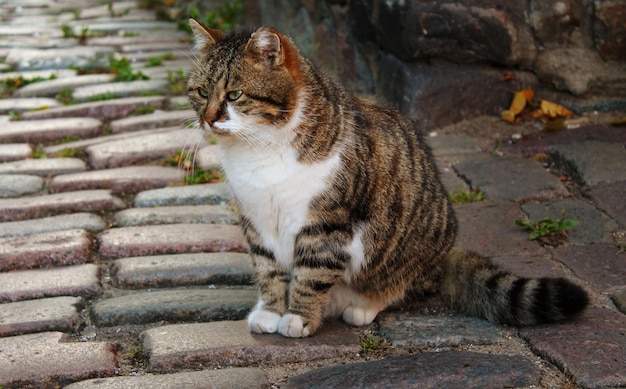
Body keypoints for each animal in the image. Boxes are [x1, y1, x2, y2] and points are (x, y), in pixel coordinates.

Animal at [185, 19, 584, 336]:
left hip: (401, 252)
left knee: (398, 284)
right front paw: (270, 311)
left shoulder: (327, 223)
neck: (259, 148)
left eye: (234, 94)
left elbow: (311, 276)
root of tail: (444, 255)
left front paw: (298, 317)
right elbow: (268, 269)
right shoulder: (256, 220)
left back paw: (362, 305)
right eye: (201, 92)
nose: (208, 119)